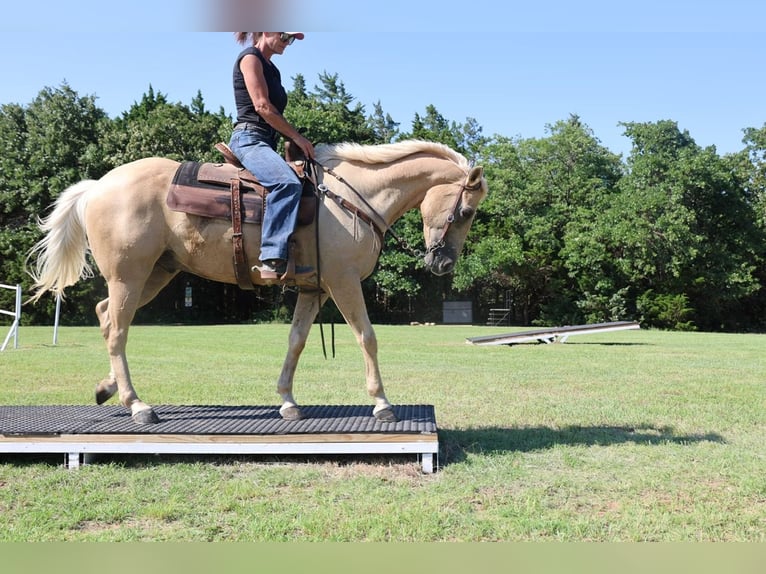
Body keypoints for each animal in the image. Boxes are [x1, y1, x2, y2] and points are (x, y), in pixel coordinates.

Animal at [28, 140, 488, 424]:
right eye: (465, 213)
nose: (443, 263)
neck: (355, 198)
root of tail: (98, 186)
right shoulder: (343, 282)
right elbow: (367, 337)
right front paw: (382, 403)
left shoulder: (315, 289)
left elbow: (296, 341)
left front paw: (287, 401)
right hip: (129, 274)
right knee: (118, 330)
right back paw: (137, 404)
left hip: (156, 273)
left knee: (107, 316)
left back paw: (108, 388)